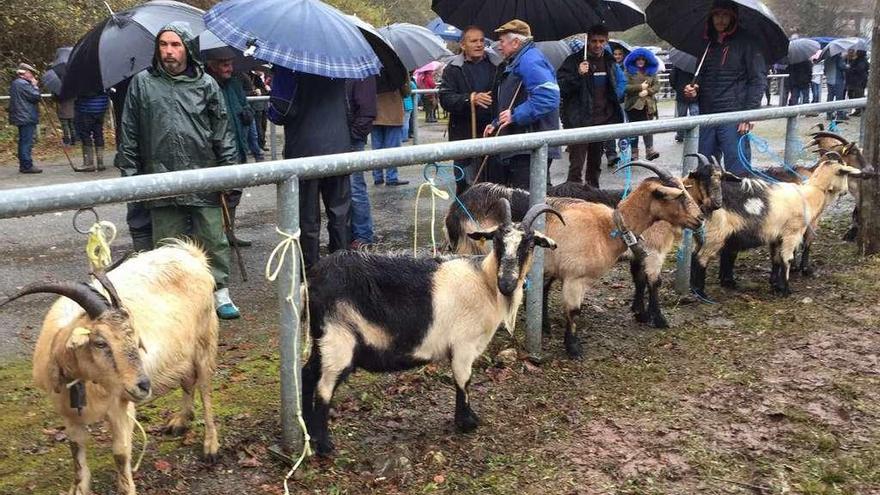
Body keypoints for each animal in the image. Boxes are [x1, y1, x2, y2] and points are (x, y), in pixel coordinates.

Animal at [0, 242, 218, 495]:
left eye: (134, 338)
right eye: (100, 342)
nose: (143, 386)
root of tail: (190, 254)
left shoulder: (120, 405)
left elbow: (120, 454)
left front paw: (127, 489)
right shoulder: (68, 414)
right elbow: (76, 453)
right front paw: (79, 488)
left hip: (205, 341)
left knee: (205, 390)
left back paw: (211, 447)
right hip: (182, 353)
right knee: (187, 380)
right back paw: (180, 421)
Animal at [302, 200, 560, 456]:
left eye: (529, 244)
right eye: (496, 241)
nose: (506, 283)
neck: (484, 282)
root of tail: (313, 279)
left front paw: (467, 419)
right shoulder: (464, 345)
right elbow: (463, 380)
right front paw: (467, 423)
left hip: (323, 339)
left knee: (307, 374)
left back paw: (309, 432)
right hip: (338, 341)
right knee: (323, 389)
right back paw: (324, 446)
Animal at [446, 157, 728, 332]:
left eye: (720, 179)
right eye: (677, 195)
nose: (704, 214)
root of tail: (457, 209)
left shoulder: (637, 253)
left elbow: (638, 280)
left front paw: (639, 312)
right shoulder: (654, 253)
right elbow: (653, 283)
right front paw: (658, 319)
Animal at [692, 153, 864, 298]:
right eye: (845, 174)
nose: (845, 191)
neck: (811, 194)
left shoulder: (777, 236)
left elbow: (776, 259)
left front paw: (776, 285)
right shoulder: (792, 233)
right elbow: (787, 259)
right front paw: (786, 290)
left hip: (702, 235)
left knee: (695, 255)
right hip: (714, 235)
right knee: (700, 259)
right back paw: (700, 292)